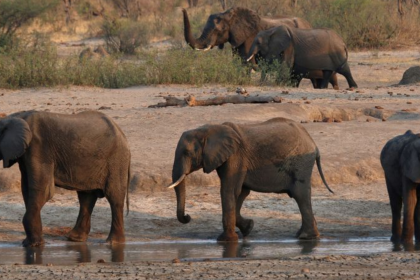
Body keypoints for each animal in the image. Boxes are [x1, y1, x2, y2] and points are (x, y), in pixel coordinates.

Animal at [0, 110, 131, 246]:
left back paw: (113, 242)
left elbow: (44, 190)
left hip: (116, 160)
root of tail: (121, 133)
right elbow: (27, 189)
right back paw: (75, 238)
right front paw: (29, 243)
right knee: (86, 197)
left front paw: (34, 245)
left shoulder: (38, 148)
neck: (14, 117)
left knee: (114, 198)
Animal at [166, 117, 334, 242]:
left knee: (300, 194)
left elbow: (229, 190)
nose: (188, 217)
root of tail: (314, 143)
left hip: (301, 163)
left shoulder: (235, 157)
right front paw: (249, 228)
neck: (210, 129)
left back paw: (306, 237)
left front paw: (225, 240)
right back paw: (302, 235)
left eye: (187, 153)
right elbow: (241, 193)